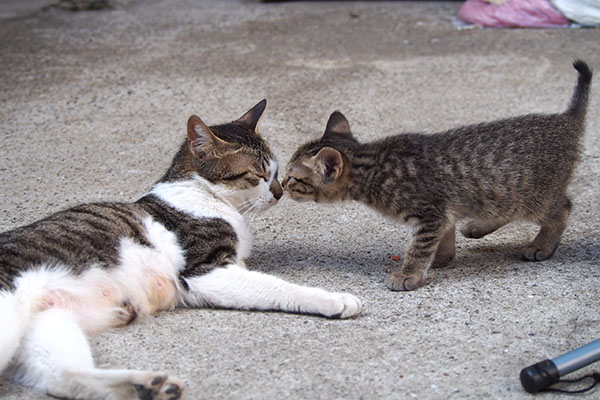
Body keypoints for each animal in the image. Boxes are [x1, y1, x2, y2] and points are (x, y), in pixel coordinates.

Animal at [0, 100, 360, 400]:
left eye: (275, 171)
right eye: (257, 175)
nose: (279, 191)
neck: (203, 194)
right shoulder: (206, 271)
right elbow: (278, 287)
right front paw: (334, 299)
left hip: (49, 324)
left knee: (62, 375)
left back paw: (147, 386)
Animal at [284, 61, 592, 294]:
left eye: (292, 177)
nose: (283, 187)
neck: (373, 165)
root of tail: (565, 120)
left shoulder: (429, 213)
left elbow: (419, 247)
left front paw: (409, 273)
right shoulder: (442, 212)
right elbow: (444, 233)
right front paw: (442, 257)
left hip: (532, 196)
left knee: (562, 208)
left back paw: (542, 245)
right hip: (502, 194)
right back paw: (479, 226)